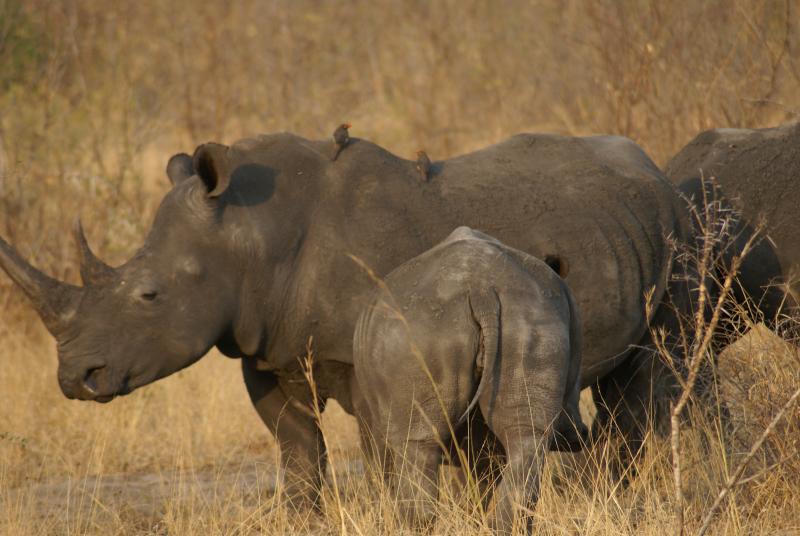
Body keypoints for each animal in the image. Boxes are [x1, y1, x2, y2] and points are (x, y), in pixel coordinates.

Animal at [354, 226, 586, 531]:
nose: (579, 435)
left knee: (417, 445)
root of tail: (481, 290)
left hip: (418, 333)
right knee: (526, 437)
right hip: (527, 321)